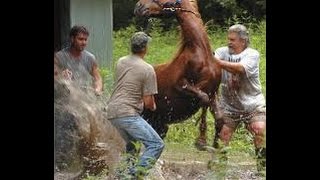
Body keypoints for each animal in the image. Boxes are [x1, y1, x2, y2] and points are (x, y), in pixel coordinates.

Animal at [135, 0, 222, 148]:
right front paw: (201, 140)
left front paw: (217, 143)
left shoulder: (213, 92)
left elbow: (220, 117)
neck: (202, 53)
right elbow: (203, 99)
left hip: (158, 123)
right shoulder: (181, 85)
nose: (138, 7)